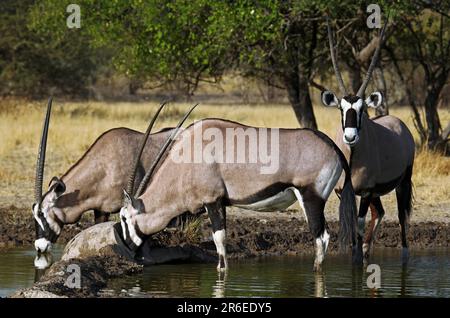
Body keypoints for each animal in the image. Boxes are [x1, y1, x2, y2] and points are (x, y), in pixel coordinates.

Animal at [118, 112, 356, 270]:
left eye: (124, 217)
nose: (125, 248)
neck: (187, 159)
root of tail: (333, 147)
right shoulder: (221, 203)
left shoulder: (212, 201)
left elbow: (219, 242)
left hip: (311, 199)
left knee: (321, 239)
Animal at [320, 16, 414, 262]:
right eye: (341, 109)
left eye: (362, 109)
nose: (350, 136)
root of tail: (400, 124)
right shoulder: (344, 192)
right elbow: (354, 225)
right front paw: (358, 253)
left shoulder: (366, 191)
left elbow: (360, 224)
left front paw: (357, 261)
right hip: (376, 193)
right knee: (379, 212)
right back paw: (366, 250)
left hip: (402, 183)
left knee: (401, 218)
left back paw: (403, 255)